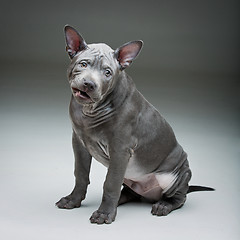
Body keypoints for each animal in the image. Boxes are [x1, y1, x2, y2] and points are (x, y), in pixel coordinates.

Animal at [56, 25, 214, 224]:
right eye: (83, 64)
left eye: (107, 73)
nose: (89, 84)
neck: (91, 110)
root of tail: (150, 195)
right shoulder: (79, 143)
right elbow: (81, 174)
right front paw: (73, 200)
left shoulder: (120, 150)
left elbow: (110, 183)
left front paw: (104, 214)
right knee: (130, 192)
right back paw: (122, 199)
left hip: (174, 174)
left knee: (179, 197)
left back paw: (164, 205)